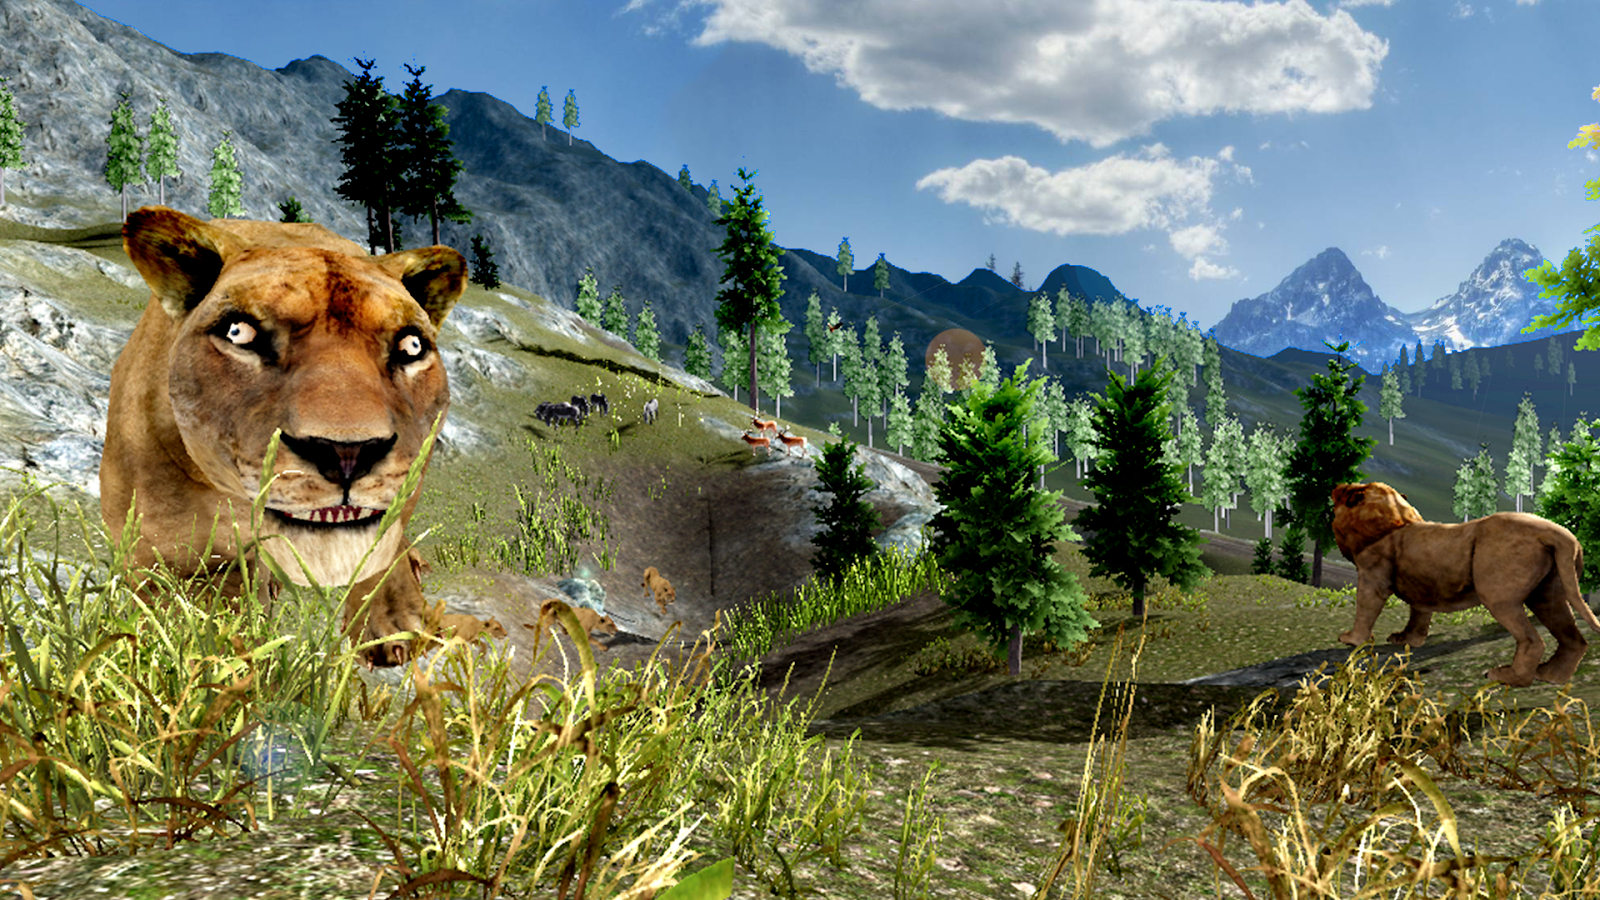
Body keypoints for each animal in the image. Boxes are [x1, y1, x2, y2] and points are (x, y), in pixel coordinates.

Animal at [101, 206, 465, 667]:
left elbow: (378, 546)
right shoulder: (168, 556)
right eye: (239, 333)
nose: (348, 453)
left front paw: (392, 625)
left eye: (412, 346)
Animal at [1331, 481, 1600, 686]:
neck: (1395, 520)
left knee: (1533, 640)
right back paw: (1550, 676)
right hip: (1547, 593)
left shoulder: (1372, 576)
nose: (1337, 486)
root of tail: (1559, 534)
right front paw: (1405, 640)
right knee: (1573, 639)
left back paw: (1506, 677)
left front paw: (1350, 639)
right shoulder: (1423, 587)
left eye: (1350, 491)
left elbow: (1365, 610)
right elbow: (1418, 616)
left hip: (1500, 597)